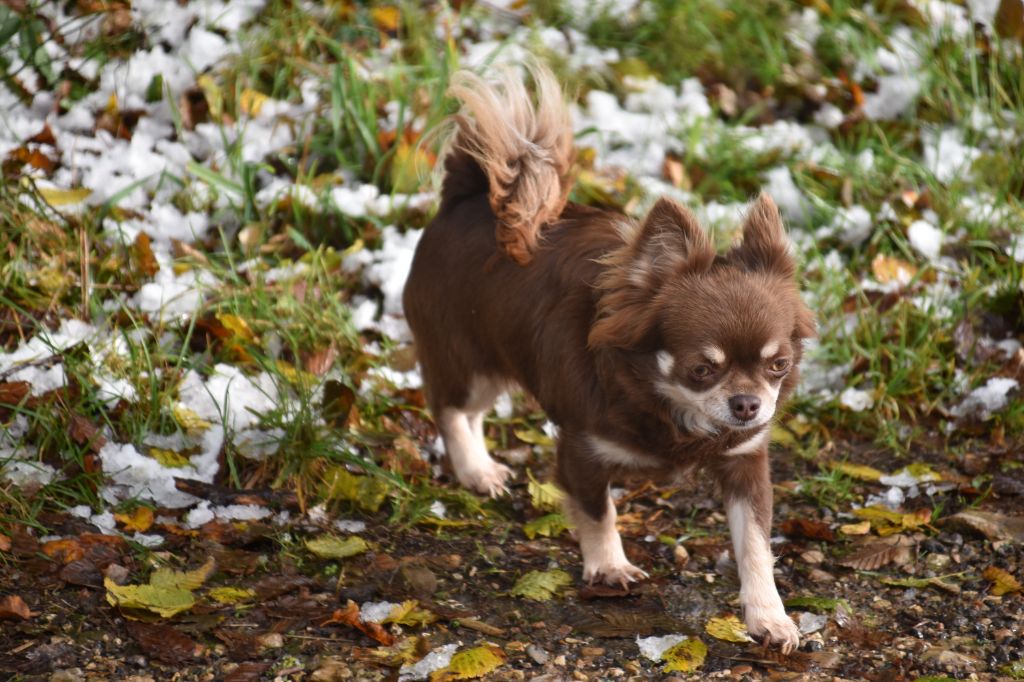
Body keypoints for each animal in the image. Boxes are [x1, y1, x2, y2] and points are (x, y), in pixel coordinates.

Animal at [403, 63, 811, 647]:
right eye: (701, 369)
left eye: (777, 366)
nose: (747, 405)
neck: (669, 408)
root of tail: (469, 196)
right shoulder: (582, 451)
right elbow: (599, 513)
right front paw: (609, 566)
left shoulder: (744, 464)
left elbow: (755, 545)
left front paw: (769, 616)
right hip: (472, 359)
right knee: (451, 406)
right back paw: (475, 469)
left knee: (471, 411)